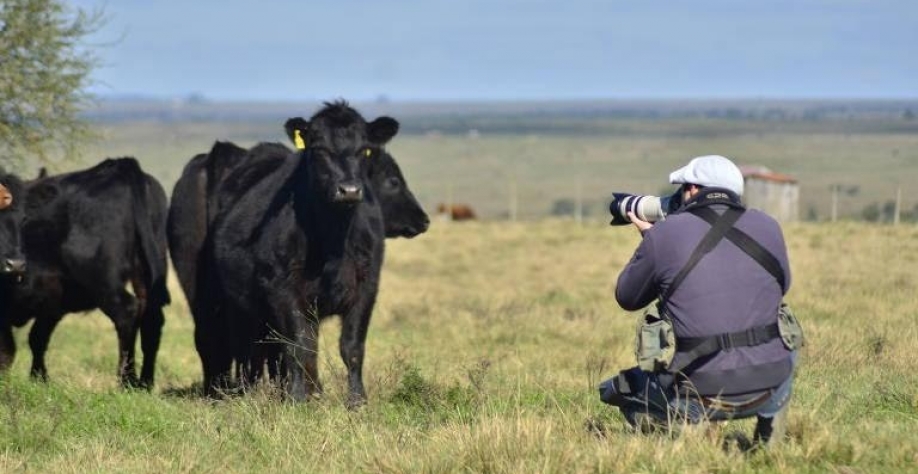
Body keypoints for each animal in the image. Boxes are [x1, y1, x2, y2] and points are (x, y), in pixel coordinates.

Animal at [0, 159, 169, 388]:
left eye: (24, 219)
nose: (15, 264)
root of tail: (119, 167)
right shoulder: (52, 301)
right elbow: (36, 340)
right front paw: (39, 379)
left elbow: (9, 350)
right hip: (146, 273)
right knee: (151, 318)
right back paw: (145, 383)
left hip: (103, 280)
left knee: (127, 311)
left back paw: (126, 380)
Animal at [199, 101, 400, 404]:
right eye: (319, 149)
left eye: (365, 149)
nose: (349, 190)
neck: (333, 241)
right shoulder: (283, 288)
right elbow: (297, 345)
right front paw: (296, 399)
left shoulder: (367, 286)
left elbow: (351, 347)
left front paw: (357, 401)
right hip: (240, 305)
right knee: (250, 348)